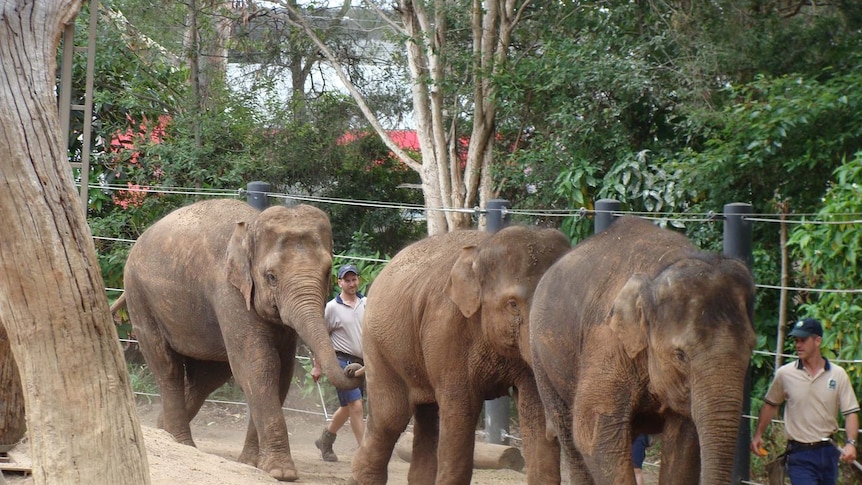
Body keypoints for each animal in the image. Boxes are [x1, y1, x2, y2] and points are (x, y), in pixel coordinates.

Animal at [123, 198, 362, 480]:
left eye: (327, 273)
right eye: (271, 277)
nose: (354, 367)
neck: (251, 227)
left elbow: (281, 371)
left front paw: (250, 463)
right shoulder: (229, 290)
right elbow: (259, 364)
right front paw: (281, 472)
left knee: (208, 378)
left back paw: (164, 430)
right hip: (139, 297)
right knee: (167, 367)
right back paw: (183, 443)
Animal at [348, 226, 572, 484]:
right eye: (513, 304)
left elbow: (533, 407)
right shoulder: (446, 329)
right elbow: (460, 411)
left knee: (428, 418)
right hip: (379, 346)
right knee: (389, 418)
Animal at [528, 216, 760, 484]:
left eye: (751, 348)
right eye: (680, 355)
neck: (665, 265)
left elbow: (683, 443)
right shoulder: (606, 341)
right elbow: (596, 435)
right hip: (541, 359)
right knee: (567, 431)